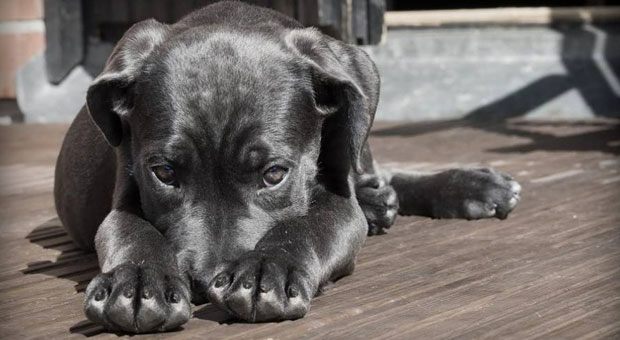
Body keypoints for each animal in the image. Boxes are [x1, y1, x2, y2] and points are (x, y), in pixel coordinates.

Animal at [53, 0, 520, 334]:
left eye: (274, 174)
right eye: (164, 173)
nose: (204, 283)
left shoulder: (338, 202)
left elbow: (308, 225)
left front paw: (266, 269)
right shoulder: (124, 195)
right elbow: (131, 230)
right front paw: (136, 282)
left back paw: (469, 186)